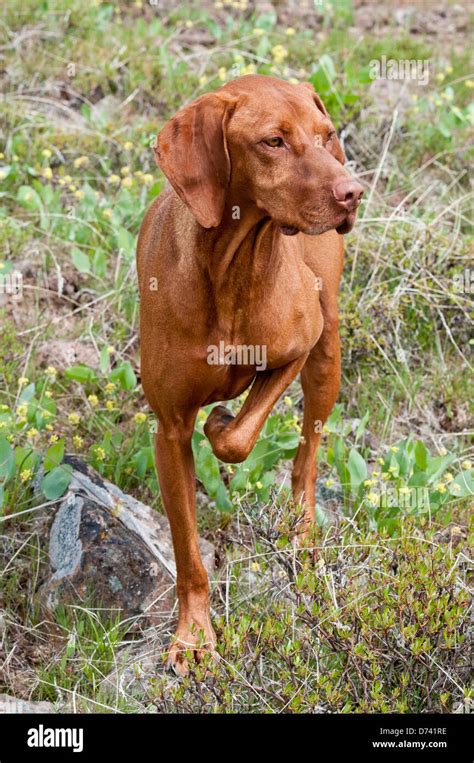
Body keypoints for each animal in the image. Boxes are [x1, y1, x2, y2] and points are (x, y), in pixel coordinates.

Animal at [136, 74, 362, 672]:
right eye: (273, 142)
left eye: (325, 135)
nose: (353, 192)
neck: (233, 267)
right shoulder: (169, 431)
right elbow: (188, 552)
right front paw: (194, 637)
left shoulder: (299, 347)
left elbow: (238, 438)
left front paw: (221, 423)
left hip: (327, 356)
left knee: (307, 459)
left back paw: (303, 543)